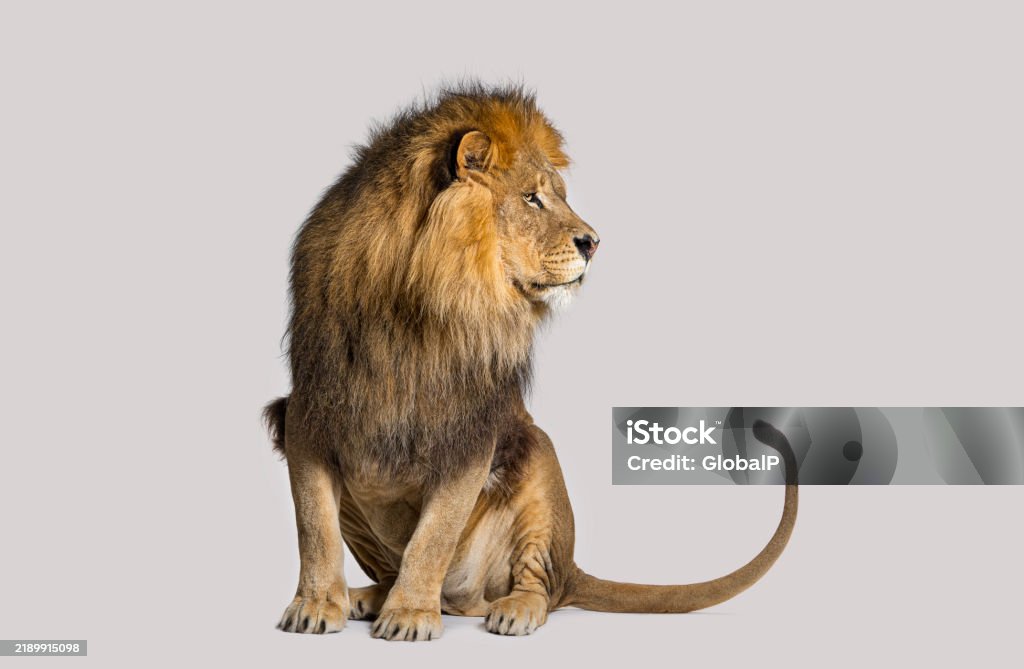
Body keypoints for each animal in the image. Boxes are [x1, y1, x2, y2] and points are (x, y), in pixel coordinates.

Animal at [264, 83, 798, 640]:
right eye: (532, 198)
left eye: (557, 195)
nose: (594, 242)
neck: (413, 309)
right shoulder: (307, 414)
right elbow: (315, 527)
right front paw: (317, 605)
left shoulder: (471, 431)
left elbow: (433, 536)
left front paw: (410, 614)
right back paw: (368, 597)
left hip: (538, 460)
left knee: (538, 585)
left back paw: (509, 609)